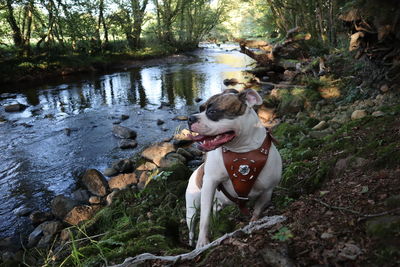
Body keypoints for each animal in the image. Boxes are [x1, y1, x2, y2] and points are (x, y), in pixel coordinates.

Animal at [185, 88, 282, 249]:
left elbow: (257, 210)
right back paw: (192, 241)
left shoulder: (267, 191)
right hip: (191, 209)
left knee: (215, 210)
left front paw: (254, 223)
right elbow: (204, 219)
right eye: (200, 109)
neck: (242, 149)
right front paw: (202, 242)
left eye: (212, 112)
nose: (190, 118)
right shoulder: (209, 184)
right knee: (192, 225)